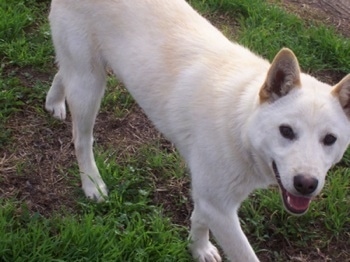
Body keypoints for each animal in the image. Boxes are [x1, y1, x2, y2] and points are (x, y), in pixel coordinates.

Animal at [45, 1, 350, 260]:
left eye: (329, 139)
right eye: (286, 131)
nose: (306, 184)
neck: (241, 122)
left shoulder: (212, 199)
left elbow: (199, 219)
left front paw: (197, 248)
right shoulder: (219, 206)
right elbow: (243, 253)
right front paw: (199, 248)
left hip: (85, 71)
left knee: (62, 71)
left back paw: (55, 101)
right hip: (90, 85)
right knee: (81, 139)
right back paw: (92, 184)